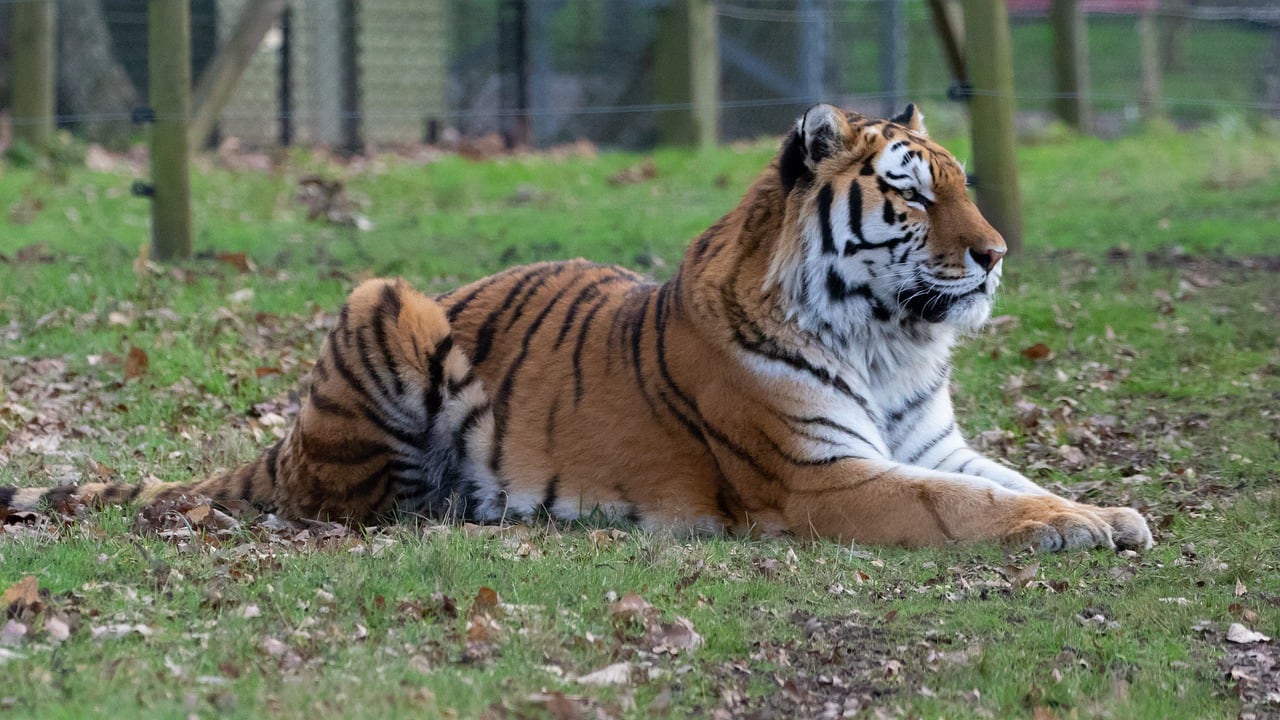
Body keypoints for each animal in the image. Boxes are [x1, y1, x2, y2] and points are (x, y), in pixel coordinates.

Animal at [2, 104, 1152, 552]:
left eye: (961, 186)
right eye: (912, 195)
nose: (995, 253)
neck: (887, 341)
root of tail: (277, 446)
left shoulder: (933, 441)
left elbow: (1003, 478)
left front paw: (1105, 511)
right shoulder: (819, 477)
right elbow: (959, 507)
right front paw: (1074, 526)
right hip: (385, 300)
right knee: (337, 501)